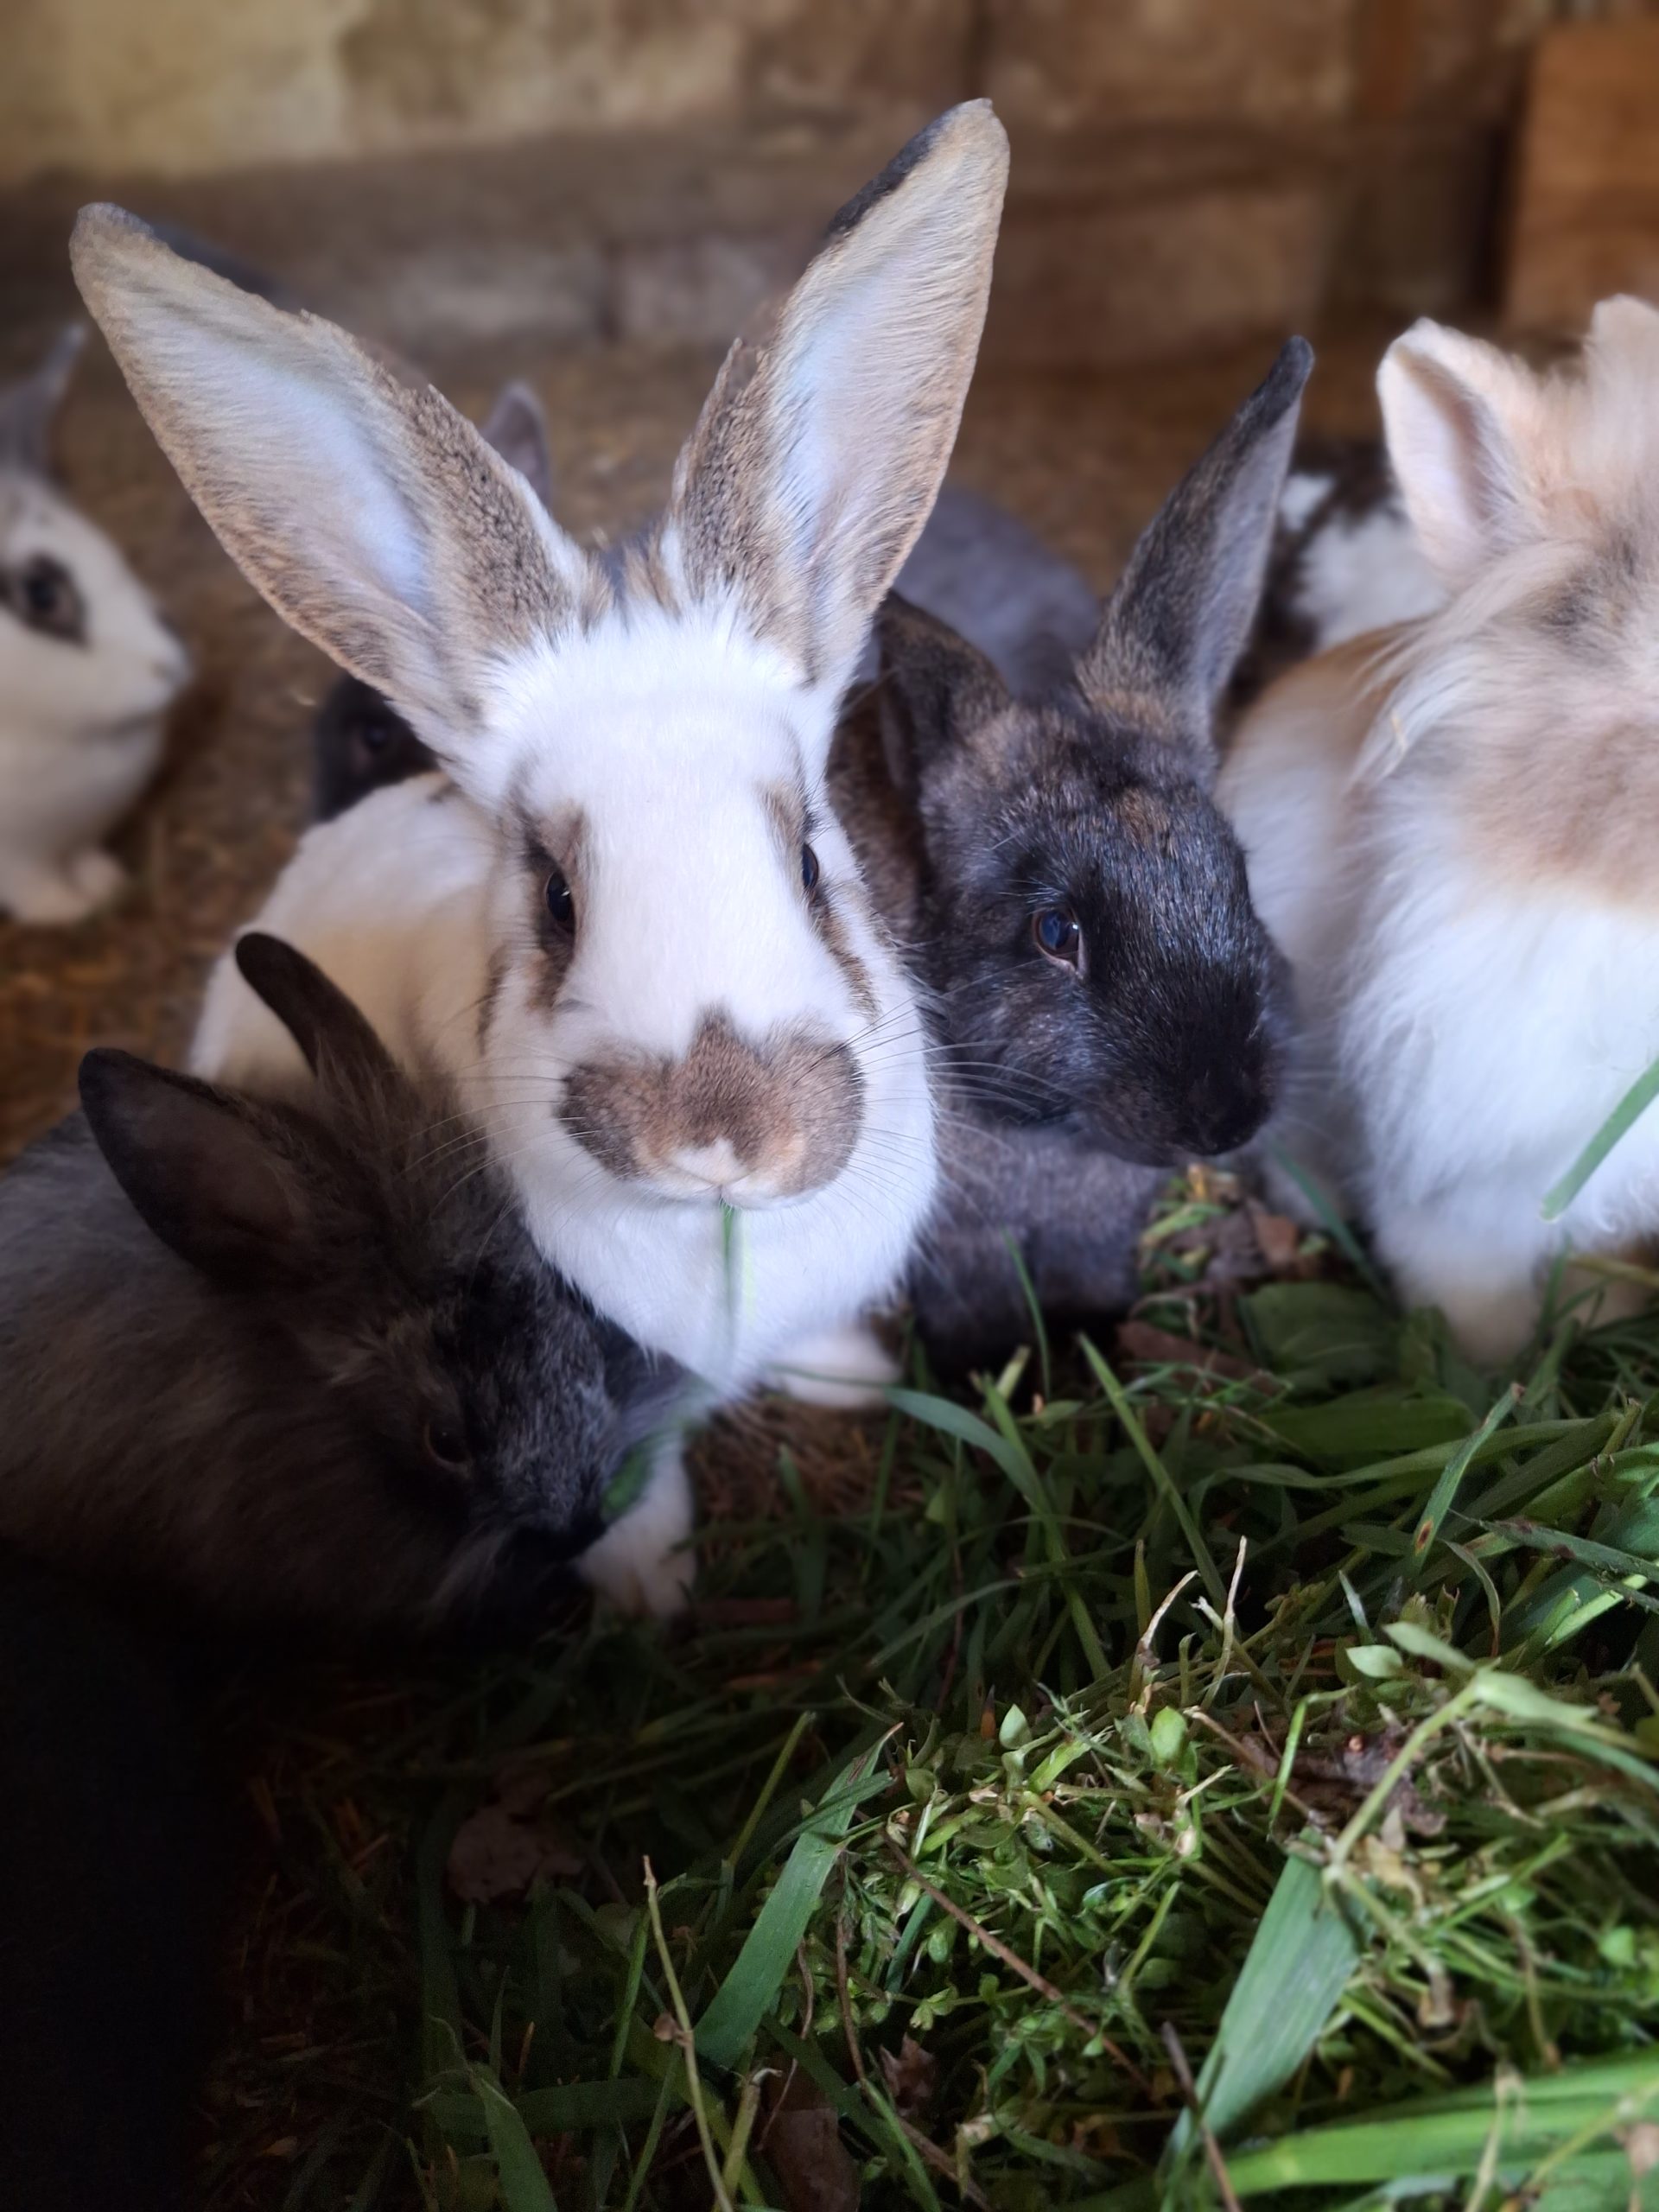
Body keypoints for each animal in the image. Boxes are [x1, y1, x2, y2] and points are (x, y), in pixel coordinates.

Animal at [0, 324, 192, 922]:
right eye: (41, 595)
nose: (175, 667)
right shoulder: (17, 860)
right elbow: (34, 888)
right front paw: (68, 910)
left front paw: (104, 885)